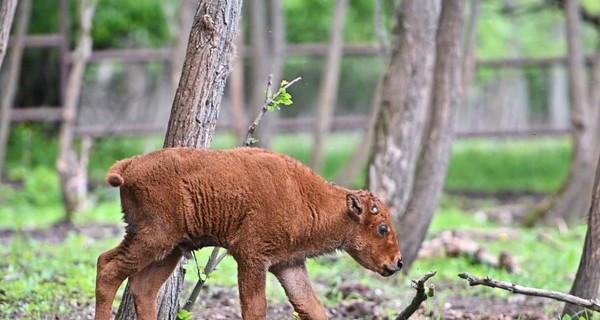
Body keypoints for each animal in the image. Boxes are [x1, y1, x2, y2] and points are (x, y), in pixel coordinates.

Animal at [95, 148, 404, 320]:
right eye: (382, 228)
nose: (398, 262)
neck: (306, 197)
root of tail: (130, 165)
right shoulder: (252, 257)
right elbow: (255, 308)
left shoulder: (288, 264)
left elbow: (312, 308)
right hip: (153, 238)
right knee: (108, 269)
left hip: (170, 249)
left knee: (142, 286)